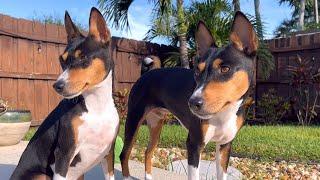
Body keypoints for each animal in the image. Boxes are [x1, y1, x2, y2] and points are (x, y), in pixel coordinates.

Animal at [10, 7, 120, 180]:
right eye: (61, 60)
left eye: (83, 58)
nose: (57, 86)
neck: (97, 107)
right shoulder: (64, 154)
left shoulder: (109, 154)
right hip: (41, 175)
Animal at [120, 11, 258, 180]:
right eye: (197, 71)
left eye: (225, 69)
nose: (192, 103)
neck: (223, 113)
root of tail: (147, 73)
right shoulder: (194, 144)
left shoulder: (225, 145)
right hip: (133, 120)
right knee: (124, 154)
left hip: (156, 123)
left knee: (148, 152)